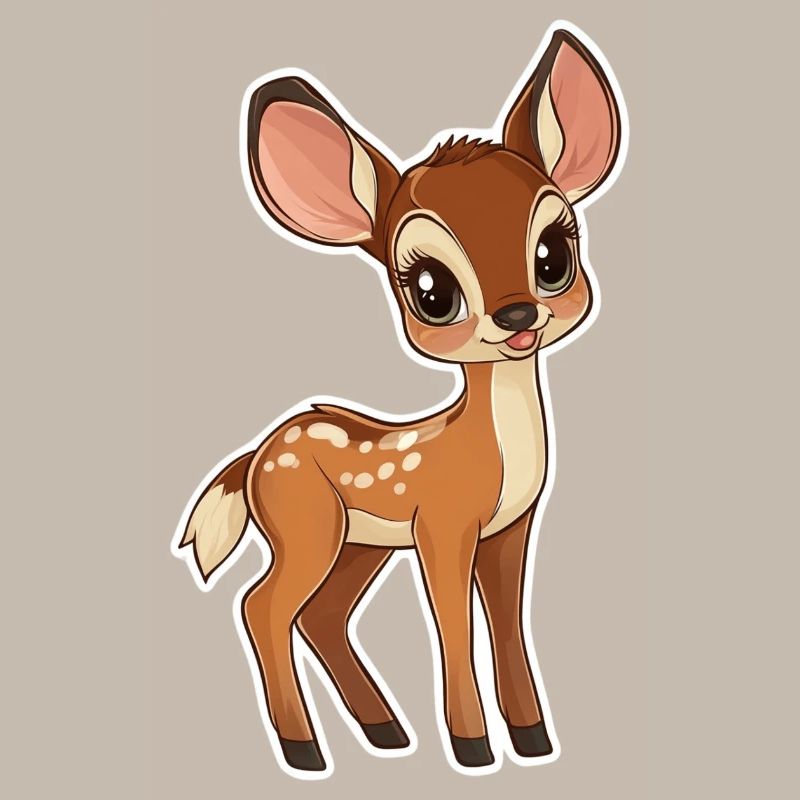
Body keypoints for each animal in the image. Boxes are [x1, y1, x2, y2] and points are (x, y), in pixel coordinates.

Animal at [175, 24, 625, 777]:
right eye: (430, 290)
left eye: (553, 254)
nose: (516, 316)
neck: (490, 447)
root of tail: (256, 456)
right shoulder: (443, 525)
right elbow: (453, 625)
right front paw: (473, 747)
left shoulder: (508, 531)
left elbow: (507, 624)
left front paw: (532, 740)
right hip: (308, 527)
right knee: (263, 607)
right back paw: (305, 751)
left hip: (359, 544)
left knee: (321, 615)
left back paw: (385, 731)